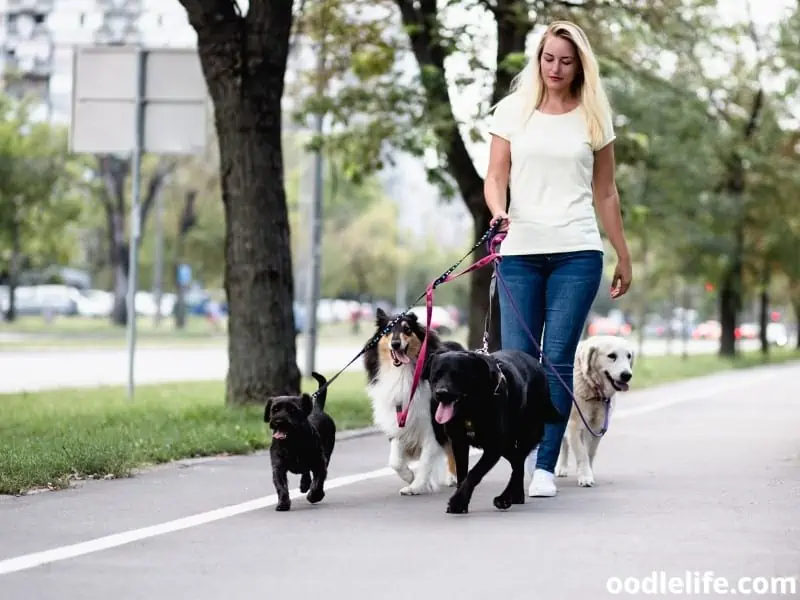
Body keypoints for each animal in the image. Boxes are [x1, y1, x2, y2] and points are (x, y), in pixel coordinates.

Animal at [264, 370, 336, 510]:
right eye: (274, 409)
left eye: (293, 410)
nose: (279, 421)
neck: (292, 442)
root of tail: (317, 409)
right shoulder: (278, 467)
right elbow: (281, 487)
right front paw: (283, 503)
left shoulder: (319, 463)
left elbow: (318, 482)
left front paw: (315, 496)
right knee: (305, 472)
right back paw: (304, 484)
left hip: (327, 454)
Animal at [364, 308, 462, 494]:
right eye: (387, 330)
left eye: (407, 329)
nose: (395, 344)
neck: (402, 372)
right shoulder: (398, 422)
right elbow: (395, 461)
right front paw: (411, 478)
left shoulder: (431, 426)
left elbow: (425, 461)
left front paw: (416, 486)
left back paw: (454, 478)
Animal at [424, 350, 564, 512]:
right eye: (436, 375)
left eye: (457, 375)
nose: (441, 393)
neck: (470, 410)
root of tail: (538, 364)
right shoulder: (459, 443)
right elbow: (462, 473)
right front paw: (461, 501)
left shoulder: (494, 446)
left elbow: (474, 473)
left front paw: (457, 502)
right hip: (507, 445)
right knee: (517, 461)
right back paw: (517, 496)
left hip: (526, 434)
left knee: (518, 462)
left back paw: (505, 498)